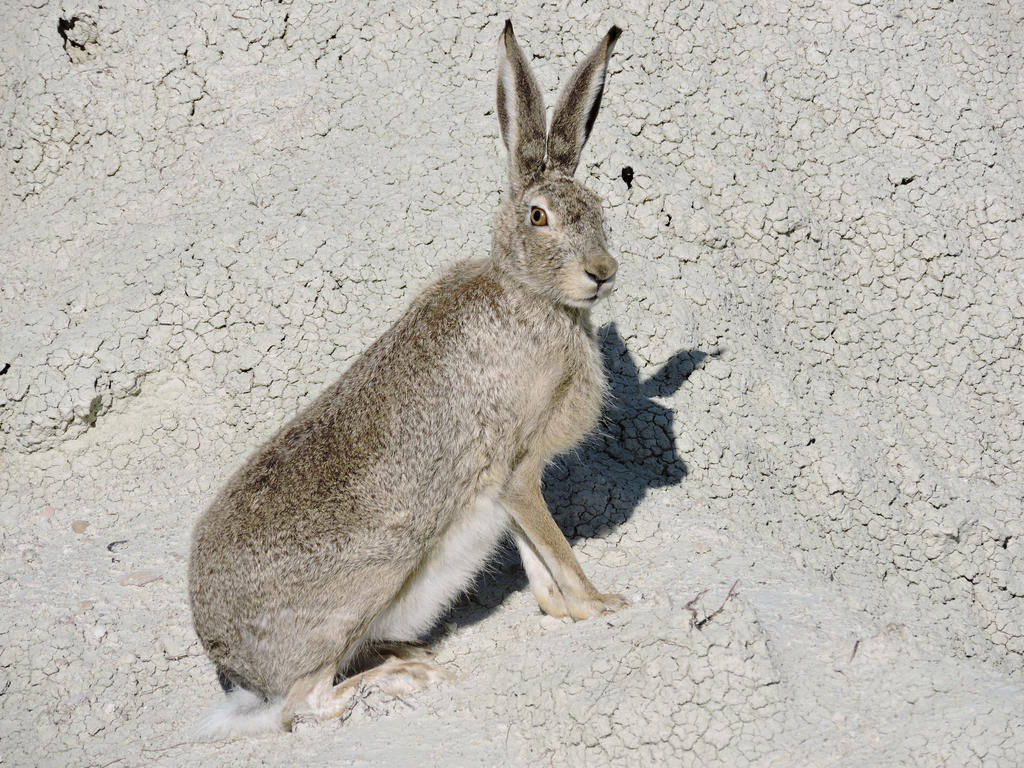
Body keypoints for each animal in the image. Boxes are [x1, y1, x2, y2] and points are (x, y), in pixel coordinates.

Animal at [188, 19, 627, 739]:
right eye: (539, 217)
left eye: (597, 208)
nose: (602, 272)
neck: (531, 297)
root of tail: (236, 669)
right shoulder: (519, 470)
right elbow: (557, 549)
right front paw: (602, 605)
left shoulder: (504, 492)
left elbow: (537, 562)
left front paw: (564, 611)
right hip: (364, 582)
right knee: (303, 705)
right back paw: (411, 675)